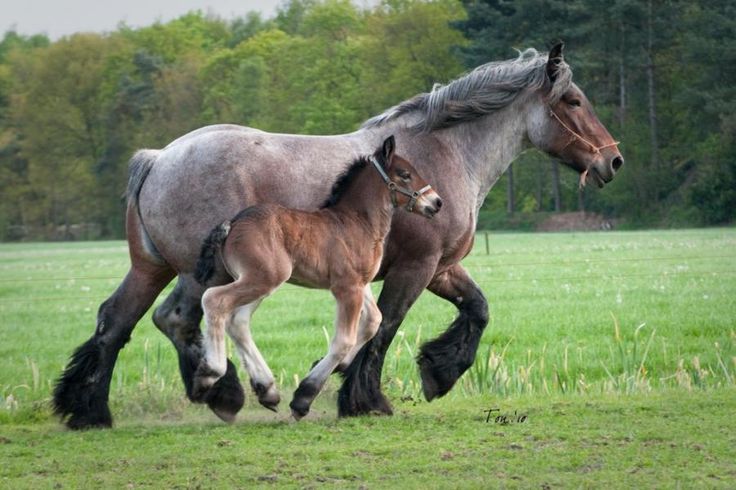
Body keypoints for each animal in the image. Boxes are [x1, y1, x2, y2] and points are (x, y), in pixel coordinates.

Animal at [193, 136, 440, 420]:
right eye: (405, 174)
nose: (437, 202)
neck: (358, 223)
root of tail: (232, 223)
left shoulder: (361, 283)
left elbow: (374, 320)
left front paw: (340, 365)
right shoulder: (347, 287)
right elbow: (343, 340)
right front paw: (303, 397)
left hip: (259, 282)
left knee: (238, 321)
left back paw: (267, 390)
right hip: (262, 278)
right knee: (214, 300)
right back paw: (209, 374)